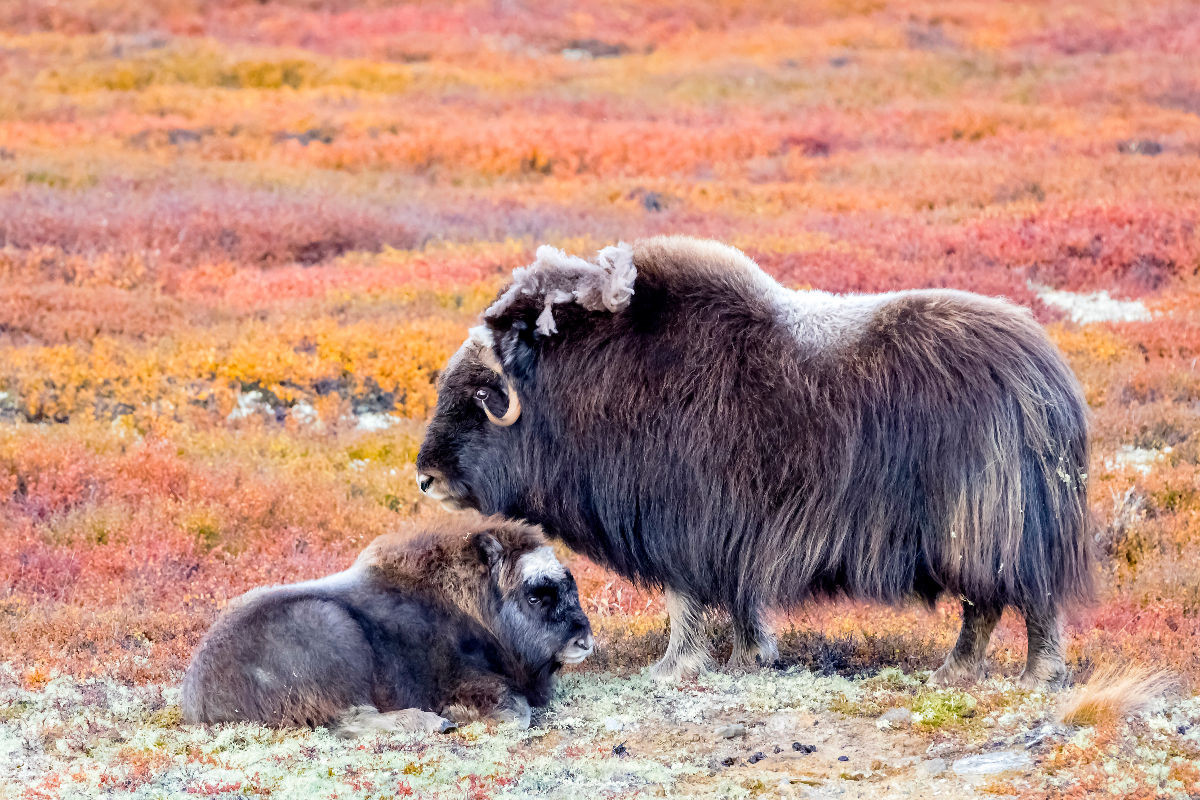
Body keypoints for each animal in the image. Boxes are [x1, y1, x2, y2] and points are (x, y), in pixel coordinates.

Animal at [182, 515, 595, 734]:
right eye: (535, 596)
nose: (585, 642)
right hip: (333, 634)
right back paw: (432, 722)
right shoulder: (465, 680)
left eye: (569, 584)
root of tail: (201, 697)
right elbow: (517, 713)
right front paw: (455, 714)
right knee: (348, 721)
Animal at [415, 236, 1099, 690]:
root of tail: (1051, 378)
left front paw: (673, 667)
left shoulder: (680, 522)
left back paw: (1032, 675)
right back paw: (959, 670)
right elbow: (733, 599)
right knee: (989, 604)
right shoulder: (724, 533)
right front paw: (752, 656)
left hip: (991, 528)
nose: (425, 477)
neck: (590, 384)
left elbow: (683, 600)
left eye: (481, 395)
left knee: (1022, 599)